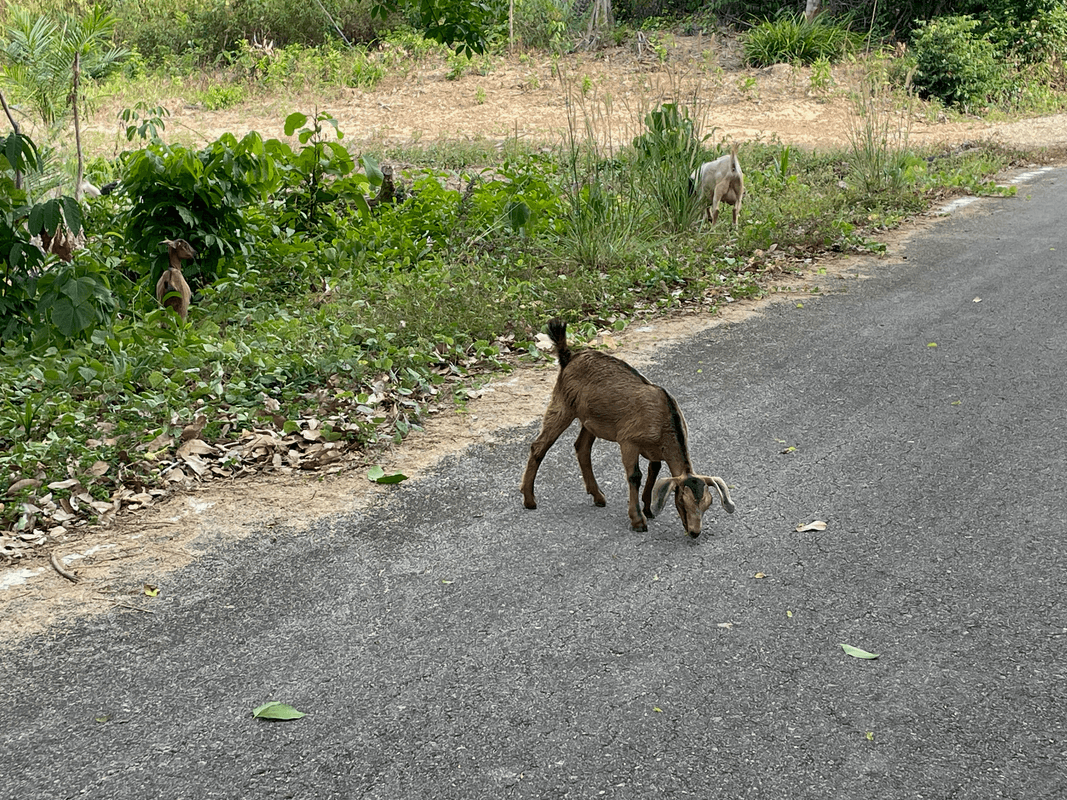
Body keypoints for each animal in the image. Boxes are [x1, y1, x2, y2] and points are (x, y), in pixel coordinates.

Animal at [520, 319, 735, 538]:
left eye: (708, 504)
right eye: (682, 500)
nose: (694, 532)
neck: (664, 418)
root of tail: (568, 357)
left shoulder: (655, 449)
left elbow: (654, 470)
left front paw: (648, 509)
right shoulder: (628, 441)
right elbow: (635, 476)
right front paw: (638, 520)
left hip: (591, 420)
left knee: (582, 448)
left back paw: (598, 496)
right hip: (563, 404)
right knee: (539, 446)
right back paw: (529, 499)